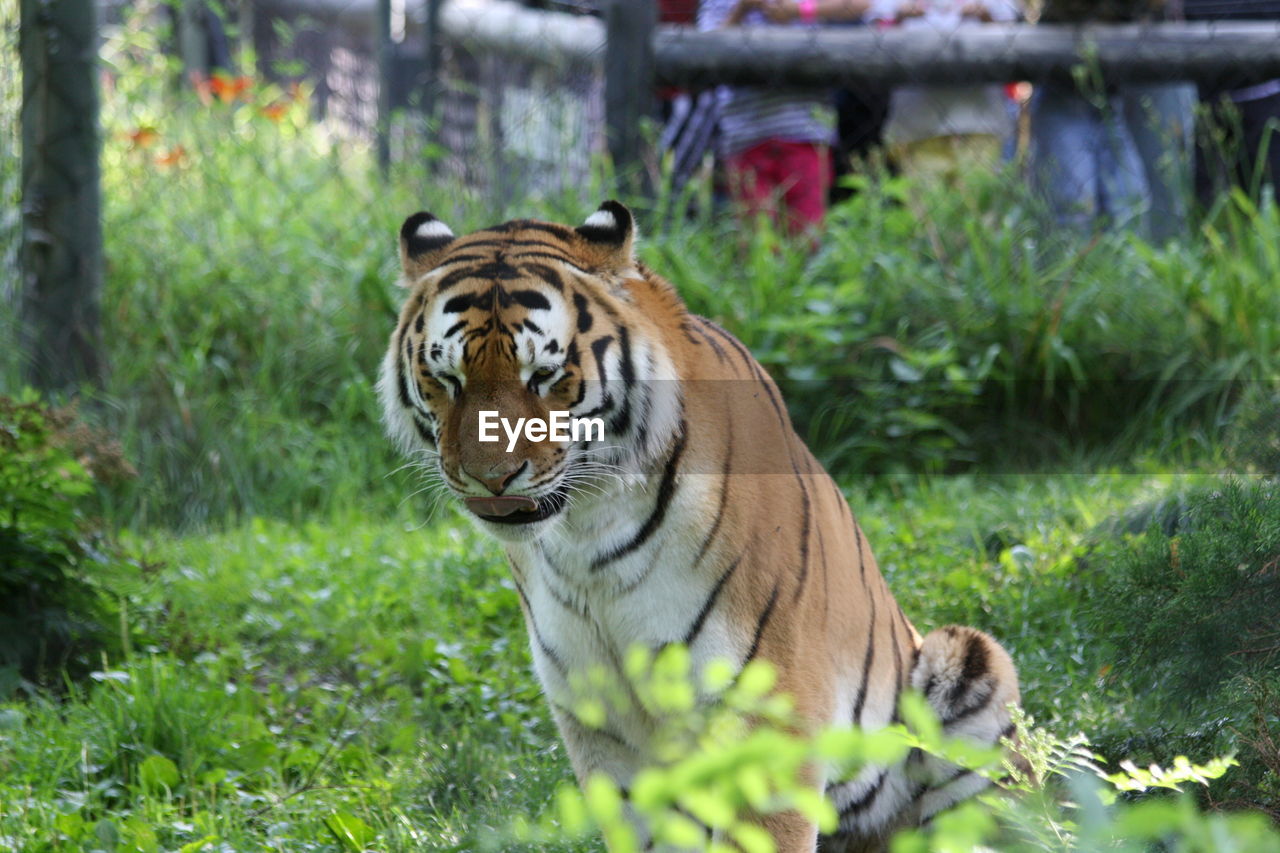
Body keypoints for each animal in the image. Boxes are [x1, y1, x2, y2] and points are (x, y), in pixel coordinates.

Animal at [373, 201, 1024, 850]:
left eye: (547, 376)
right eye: (447, 379)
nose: (491, 478)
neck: (587, 531)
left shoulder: (767, 714)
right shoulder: (603, 725)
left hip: (969, 661)